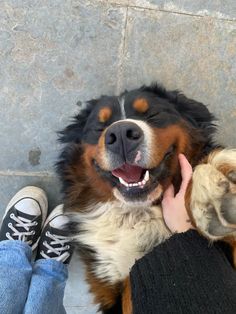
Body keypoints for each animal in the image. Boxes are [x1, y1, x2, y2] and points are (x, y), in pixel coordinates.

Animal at [56, 84, 236, 314]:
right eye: (99, 127)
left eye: (152, 114)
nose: (120, 134)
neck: (139, 213)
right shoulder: (113, 285)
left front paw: (211, 195)